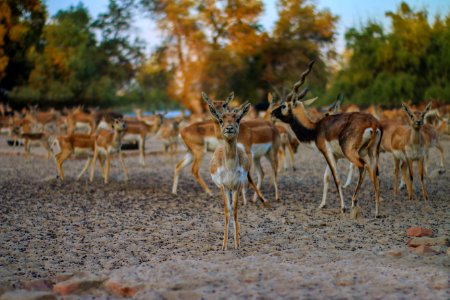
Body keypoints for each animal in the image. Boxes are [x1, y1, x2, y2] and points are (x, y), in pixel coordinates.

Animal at [270, 59, 384, 217]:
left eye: (283, 106)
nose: (271, 114)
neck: (315, 128)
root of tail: (373, 123)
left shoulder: (326, 152)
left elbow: (336, 178)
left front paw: (342, 207)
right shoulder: (335, 156)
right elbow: (326, 177)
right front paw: (322, 204)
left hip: (352, 153)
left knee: (363, 167)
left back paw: (354, 203)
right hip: (374, 152)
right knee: (376, 175)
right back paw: (377, 212)